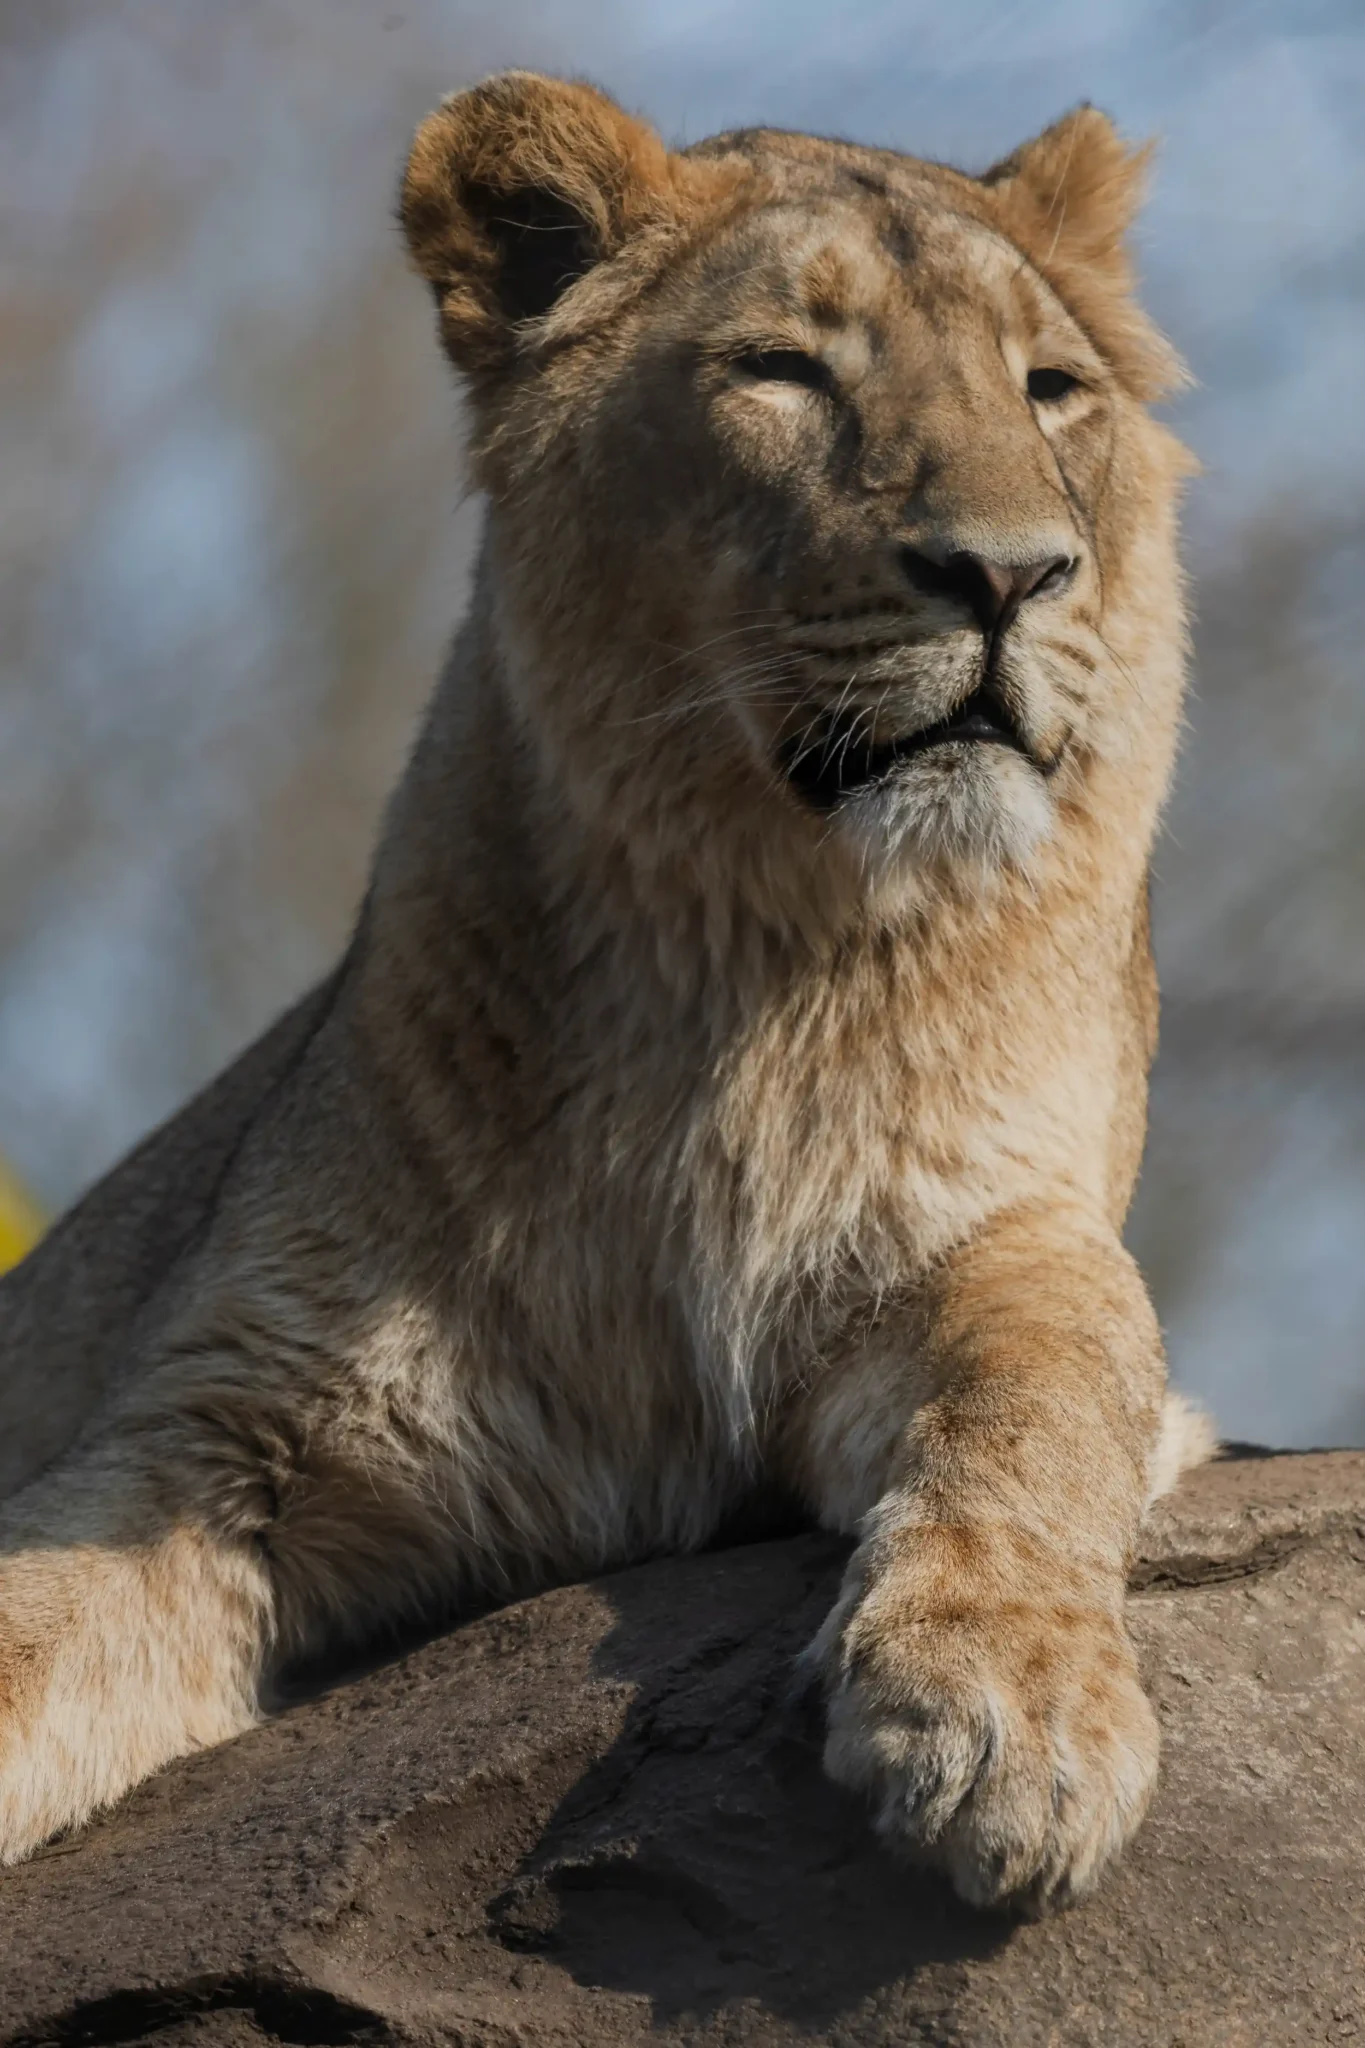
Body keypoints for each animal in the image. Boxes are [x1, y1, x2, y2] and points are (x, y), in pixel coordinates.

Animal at [0, 73, 1214, 1909]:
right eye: (782, 369)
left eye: (1052, 389)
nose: (1012, 575)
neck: (747, 969)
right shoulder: (215, 1434)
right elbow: (28, 1622)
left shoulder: (1006, 1229)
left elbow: (1050, 1392)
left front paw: (1012, 1701)